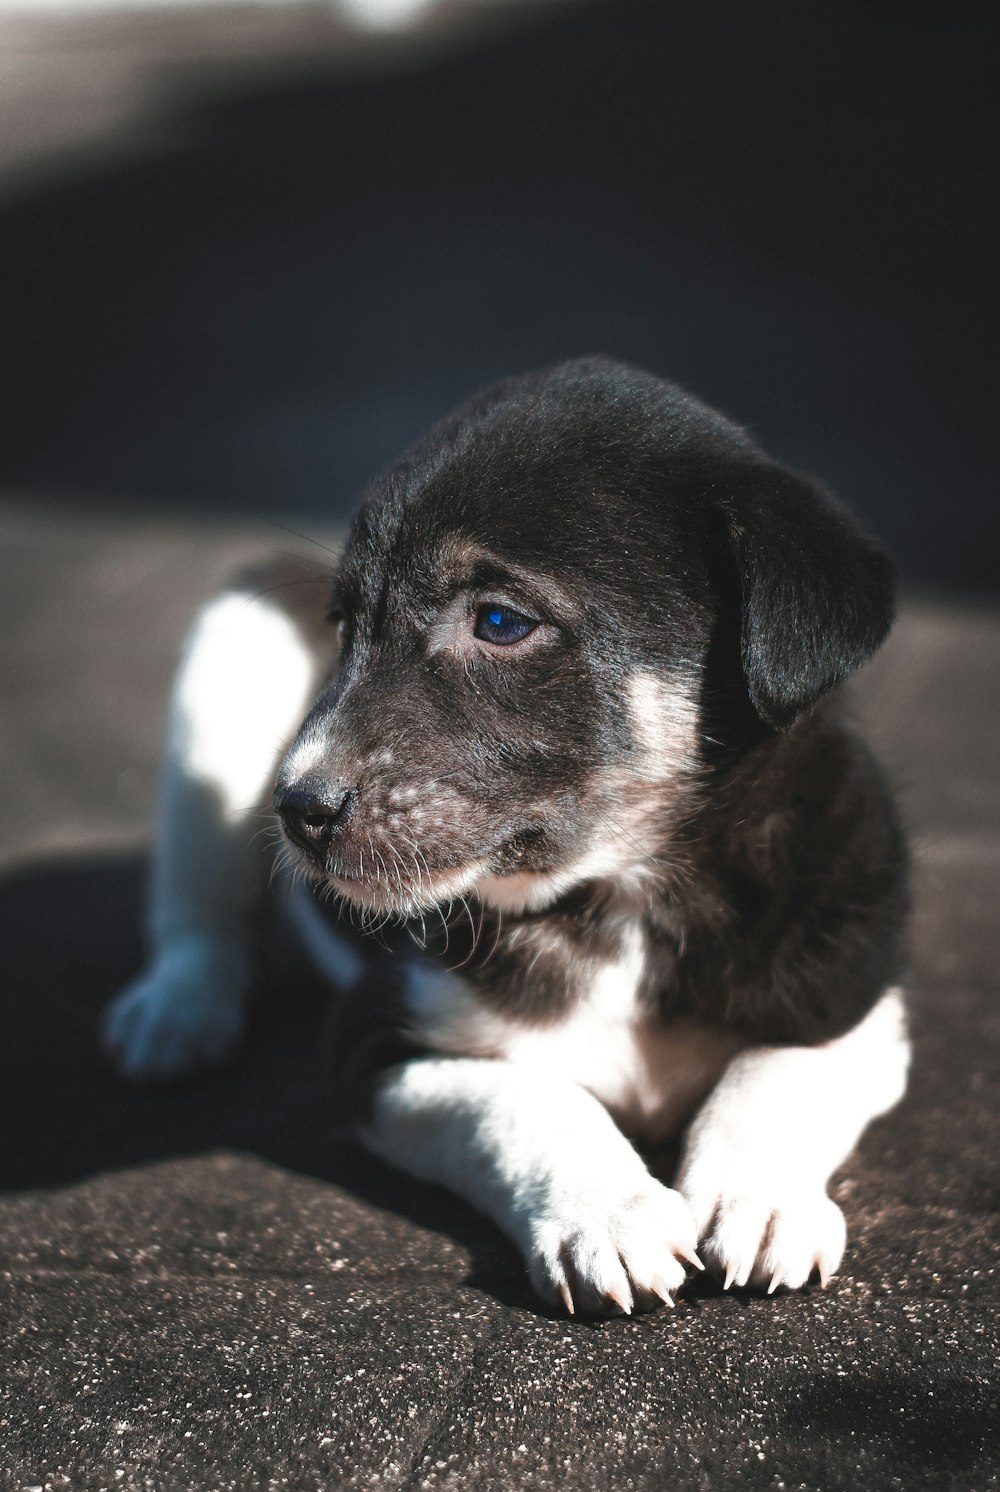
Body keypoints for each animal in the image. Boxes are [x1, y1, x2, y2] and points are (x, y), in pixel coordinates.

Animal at [105, 355, 913, 1312]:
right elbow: (526, 1099)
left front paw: (760, 1198)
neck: (619, 893)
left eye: (499, 621)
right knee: (203, 919)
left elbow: (778, 1070)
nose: (296, 810)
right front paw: (607, 1215)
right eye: (346, 627)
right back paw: (175, 1016)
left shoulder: (861, 996)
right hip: (226, 662)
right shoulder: (379, 1046)